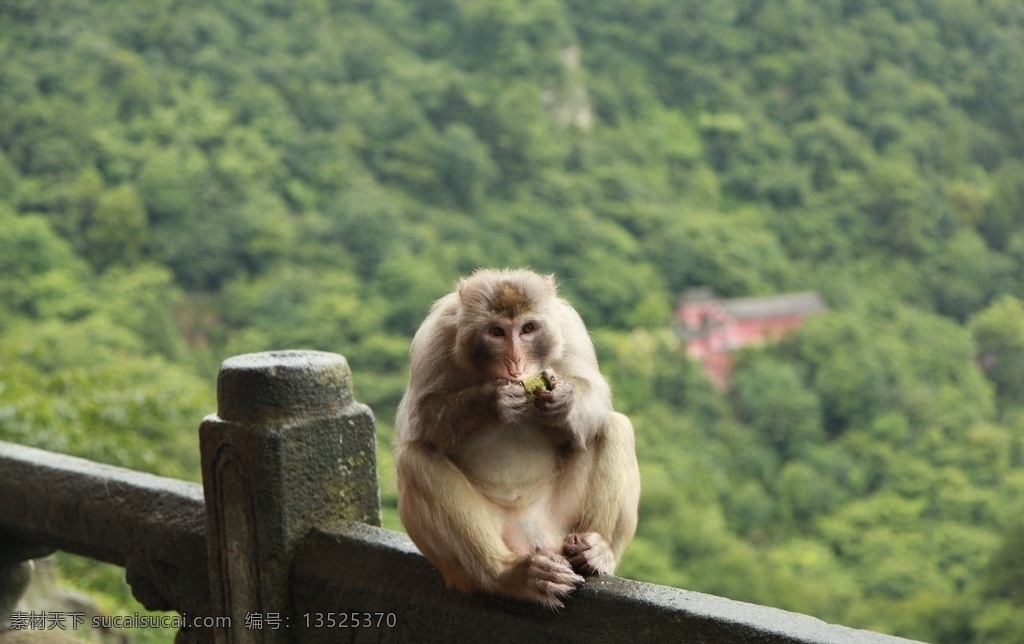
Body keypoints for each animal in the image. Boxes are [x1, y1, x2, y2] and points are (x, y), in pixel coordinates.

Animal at [393, 268, 638, 606]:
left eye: (528, 329)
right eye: (497, 332)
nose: (516, 363)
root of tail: (533, 535)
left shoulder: (568, 326)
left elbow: (596, 395)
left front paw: (563, 402)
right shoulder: (434, 338)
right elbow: (419, 418)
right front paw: (492, 401)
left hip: (562, 521)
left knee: (613, 427)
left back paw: (596, 552)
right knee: (415, 459)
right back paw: (512, 575)